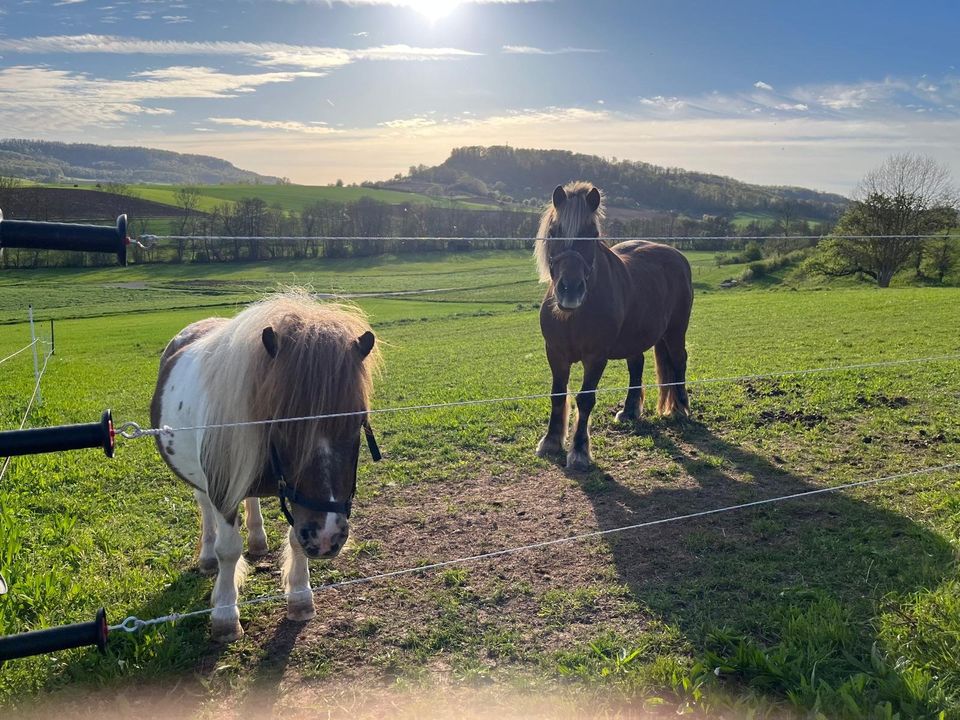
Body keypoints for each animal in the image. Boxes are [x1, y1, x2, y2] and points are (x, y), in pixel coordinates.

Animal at [150, 292, 378, 640]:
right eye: (282, 425)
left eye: (357, 421)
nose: (327, 538)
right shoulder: (222, 488)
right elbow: (229, 549)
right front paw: (225, 614)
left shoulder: (295, 500)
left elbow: (296, 540)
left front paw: (300, 597)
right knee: (204, 509)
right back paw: (207, 557)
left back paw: (258, 540)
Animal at [536, 183, 692, 470]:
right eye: (553, 232)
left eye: (593, 234)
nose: (570, 290)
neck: (575, 316)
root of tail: (675, 254)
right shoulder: (555, 354)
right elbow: (557, 394)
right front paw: (551, 441)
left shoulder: (596, 357)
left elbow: (585, 399)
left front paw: (579, 451)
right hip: (636, 337)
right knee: (637, 365)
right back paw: (630, 411)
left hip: (676, 332)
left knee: (679, 361)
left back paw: (680, 408)